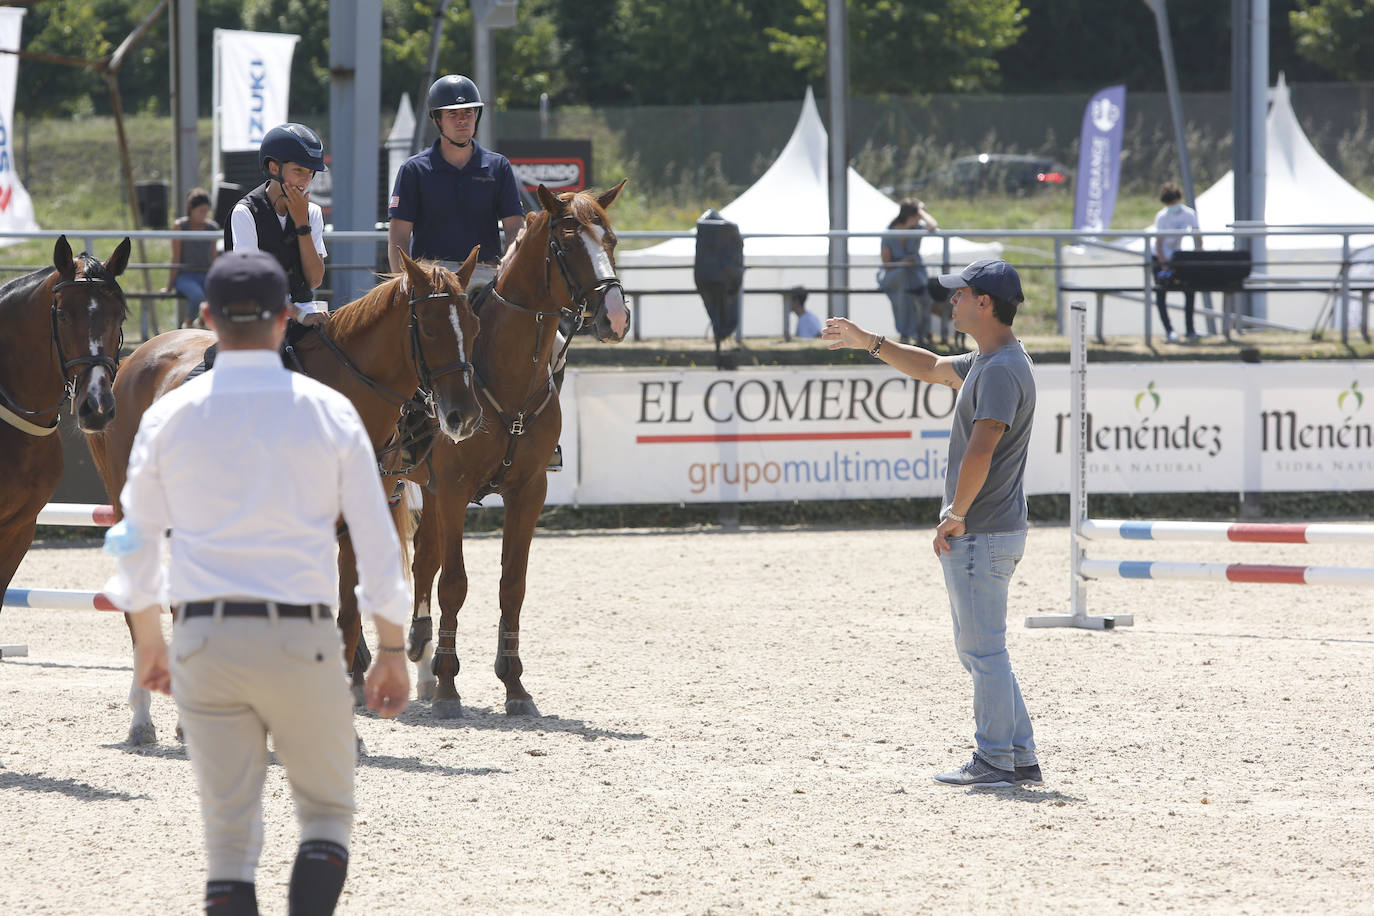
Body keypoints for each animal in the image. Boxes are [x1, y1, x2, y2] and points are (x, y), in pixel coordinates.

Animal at [370, 182, 629, 719]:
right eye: (567, 244)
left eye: (611, 240)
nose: (616, 317)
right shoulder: (453, 489)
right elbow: (454, 583)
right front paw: (449, 687)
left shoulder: (528, 491)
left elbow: (512, 585)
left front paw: (514, 683)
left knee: (424, 561)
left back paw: (420, 656)